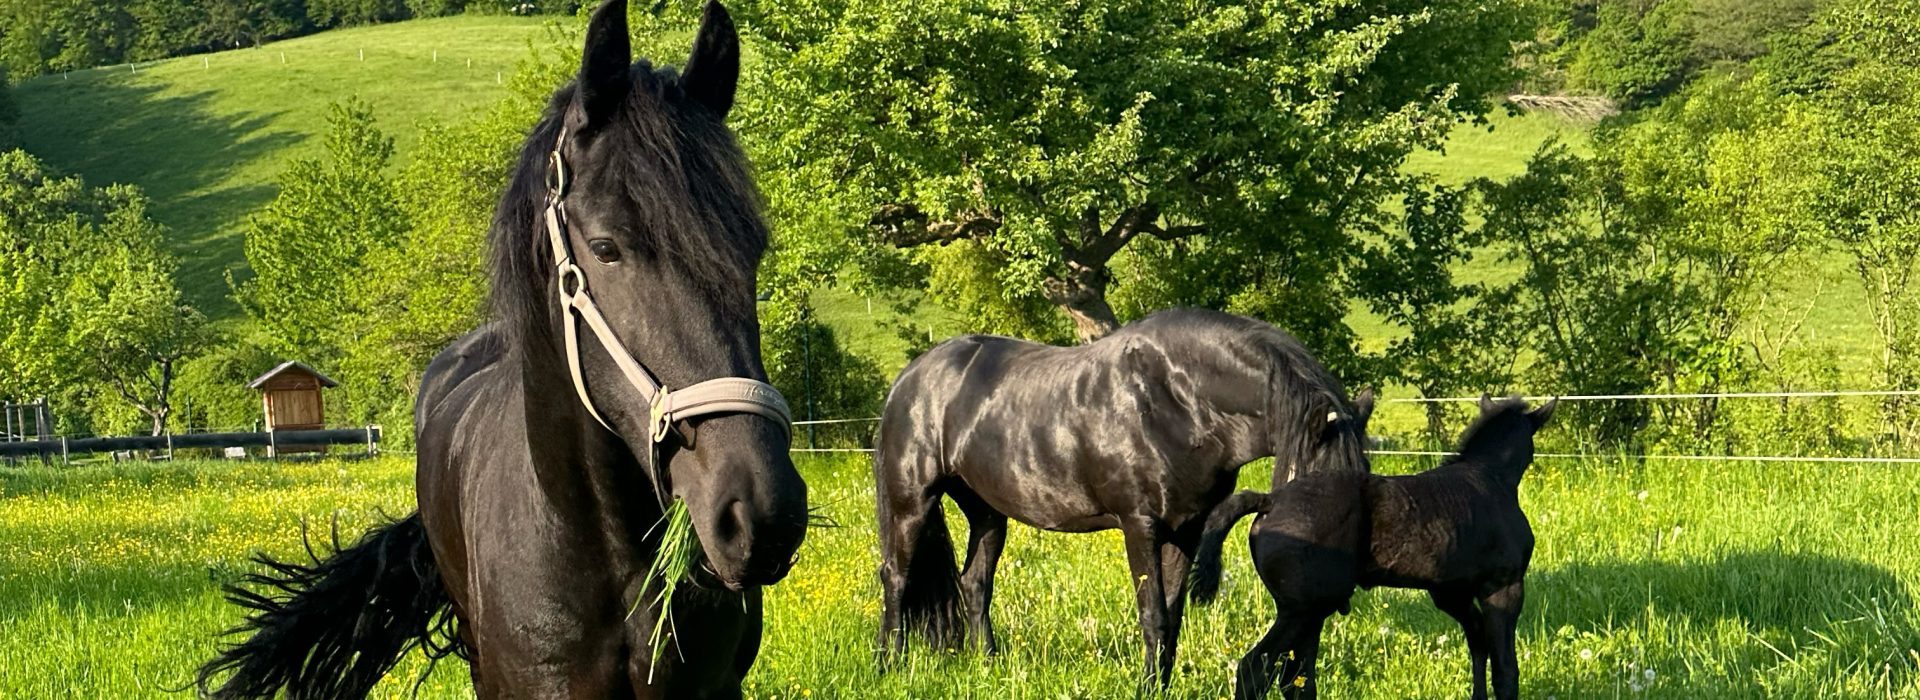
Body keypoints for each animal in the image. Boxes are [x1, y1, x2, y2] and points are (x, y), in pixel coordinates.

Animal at [872, 307, 1375, 686]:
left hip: (988, 514)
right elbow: (1153, 615)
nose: (1335, 595)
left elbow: (1172, 618)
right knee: (895, 577)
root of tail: (909, 378)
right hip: (911, 502)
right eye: (1315, 500)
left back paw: (990, 665)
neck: (1176, 399)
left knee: (975, 584)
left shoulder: (1186, 530)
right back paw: (889, 665)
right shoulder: (1140, 525)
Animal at [1196, 395, 1555, 700]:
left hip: (1309, 611)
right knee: (1255, 670)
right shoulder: (1503, 586)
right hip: (1301, 610)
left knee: (1296, 679)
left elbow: (1478, 645)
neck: (1490, 477)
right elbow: (1505, 670)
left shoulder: (1452, 593)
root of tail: (1270, 501)